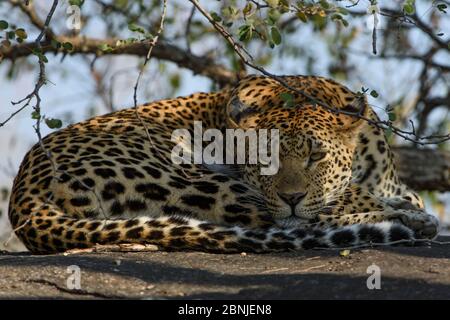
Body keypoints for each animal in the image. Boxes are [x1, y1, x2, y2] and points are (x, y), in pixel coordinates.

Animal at [7, 74, 440, 252]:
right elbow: (346, 198)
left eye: (316, 155)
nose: (292, 198)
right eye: (264, 158)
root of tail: (22, 196)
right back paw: (405, 224)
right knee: (276, 224)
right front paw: (407, 215)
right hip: (188, 173)